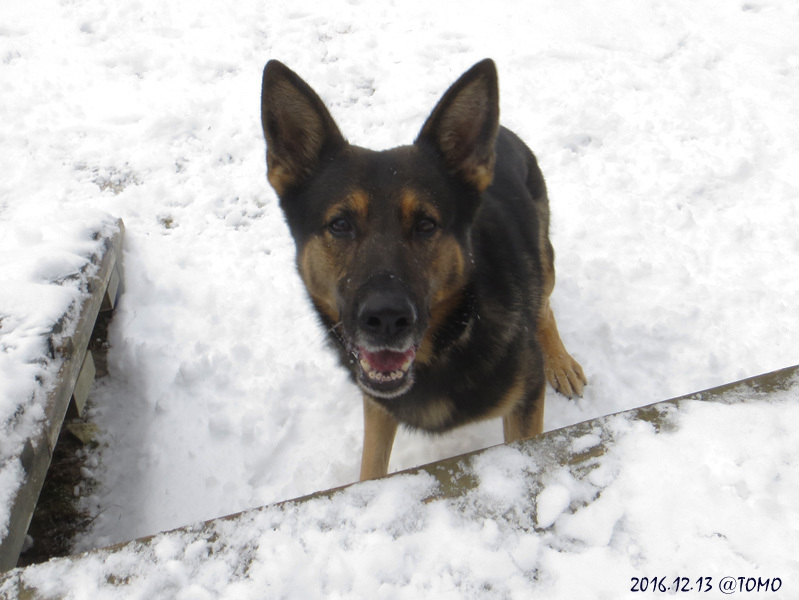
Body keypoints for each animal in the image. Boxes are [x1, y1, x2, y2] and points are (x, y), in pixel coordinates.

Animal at [262, 59, 588, 482]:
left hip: (544, 256)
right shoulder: (378, 403)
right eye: (340, 224)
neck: (453, 338)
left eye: (426, 225)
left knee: (544, 306)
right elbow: (371, 466)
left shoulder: (526, 404)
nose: (386, 319)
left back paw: (560, 361)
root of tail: (503, 131)